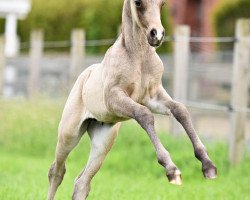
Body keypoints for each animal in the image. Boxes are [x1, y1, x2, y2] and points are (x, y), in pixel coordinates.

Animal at [47, 0, 217, 199]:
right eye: (138, 3)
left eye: (162, 3)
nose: (157, 35)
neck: (139, 57)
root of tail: (84, 75)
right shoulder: (115, 98)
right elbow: (144, 115)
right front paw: (171, 170)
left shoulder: (153, 96)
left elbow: (180, 110)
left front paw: (208, 165)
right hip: (69, 134)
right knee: (57, 171)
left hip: (103, 142)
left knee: (82, 183)